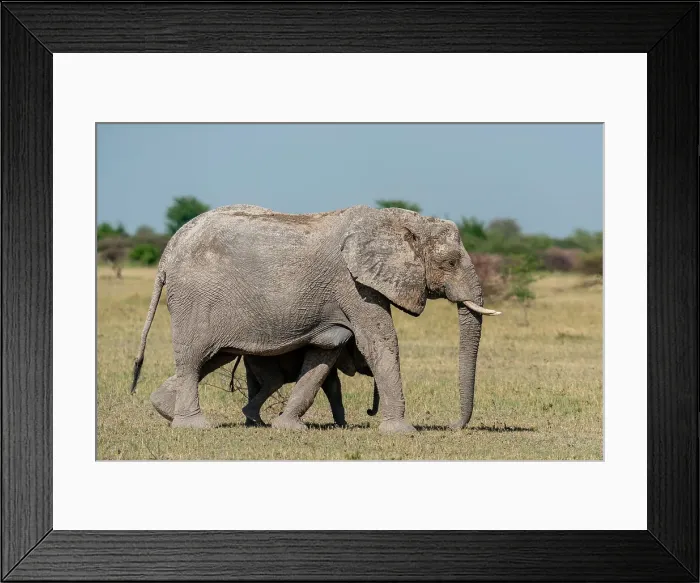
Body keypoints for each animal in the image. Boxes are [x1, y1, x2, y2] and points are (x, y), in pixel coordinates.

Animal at [131, 204, 500, 433]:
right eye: (449, 263)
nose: (452, 426)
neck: (394, 221)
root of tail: (168, 250)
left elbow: (325, 354)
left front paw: (288, 427)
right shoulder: (352, 283)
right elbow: (380, 342)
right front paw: (402, 431)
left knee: (211, 357)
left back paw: (165, 409)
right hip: (195, 298)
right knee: (194, 357)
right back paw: (193, 425)